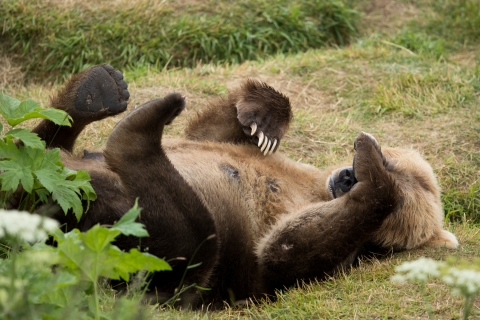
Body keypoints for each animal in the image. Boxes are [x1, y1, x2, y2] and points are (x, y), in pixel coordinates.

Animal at [22, 64, 458, 308]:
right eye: (395, 160)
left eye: (403, 204)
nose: (350, 175)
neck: (320, 188)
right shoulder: (285, 166)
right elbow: (216, 132)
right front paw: (263, 119)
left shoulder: (307, 258)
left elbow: (283, 251)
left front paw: (374, 178)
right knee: (39, 147)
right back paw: (97, 92)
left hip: (144, 249)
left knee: (189, 243)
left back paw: (140, 131)